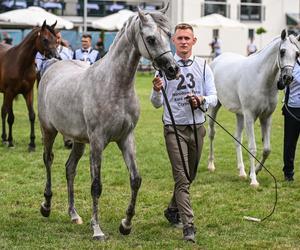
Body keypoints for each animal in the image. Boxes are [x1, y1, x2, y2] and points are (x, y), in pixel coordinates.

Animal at [0, 21, 58, 150]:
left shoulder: (28, 92)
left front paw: (32, 143)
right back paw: (6, 139)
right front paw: (11, 142)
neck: (20, 63)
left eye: (56, 39)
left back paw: (4, 138)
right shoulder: (10, 92)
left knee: (3, 111)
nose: (55, 55)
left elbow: (32, 115)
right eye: (45, 39)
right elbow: (11, 118)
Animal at [37, 4, 178, 240]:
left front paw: (126, 224)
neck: (115, 85)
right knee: (48, 160)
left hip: (78, 140)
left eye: (169, 35)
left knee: (69, 168)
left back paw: (74, 214)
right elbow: (96, 185)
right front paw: (97, 229)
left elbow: (135, 180)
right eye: (150, 39)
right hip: (49, 130)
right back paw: (46, 206)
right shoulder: (97, 141)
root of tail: (53, 65)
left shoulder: (126, 138)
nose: (173, 69)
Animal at [207, 29, 298, 187]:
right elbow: (252, 147)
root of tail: (216, 60)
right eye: (282, 51)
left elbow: (267, 149)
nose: (286, 79)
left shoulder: (266, 117)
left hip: (240, 115)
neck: (261, 78)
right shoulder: (250, 116)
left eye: (297, 54)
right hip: (216, 108)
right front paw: (254, 180)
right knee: (212, 133)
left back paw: (242, 172)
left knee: (237, 138)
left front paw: (254, 171)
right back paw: (211, 165)